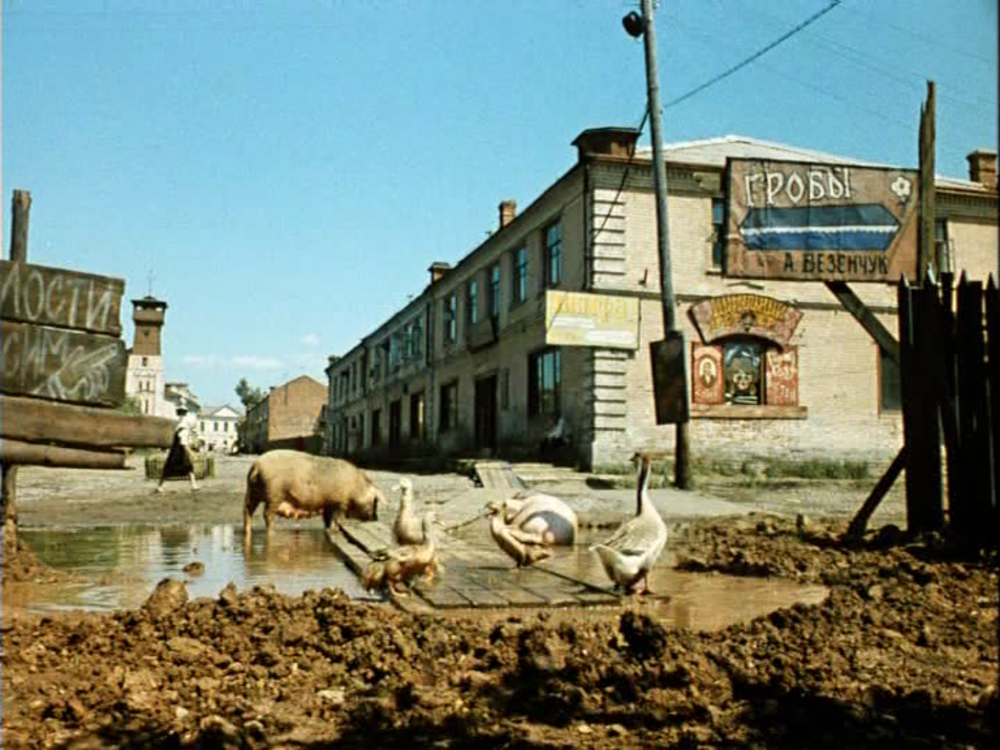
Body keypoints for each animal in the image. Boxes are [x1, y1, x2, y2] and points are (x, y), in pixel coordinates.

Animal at [244, 450, 380, 544]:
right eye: (374, 501)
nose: (376, 518)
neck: (356, 488)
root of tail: (257, 465)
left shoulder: (328, 505)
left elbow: (327, 519)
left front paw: (328, 530)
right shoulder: (341, 503)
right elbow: (338, 519)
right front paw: (336, 529)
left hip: (252, 491)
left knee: (247, 510)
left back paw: (248, 531)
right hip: (274, 493)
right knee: (267, 514)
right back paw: (272, 533)